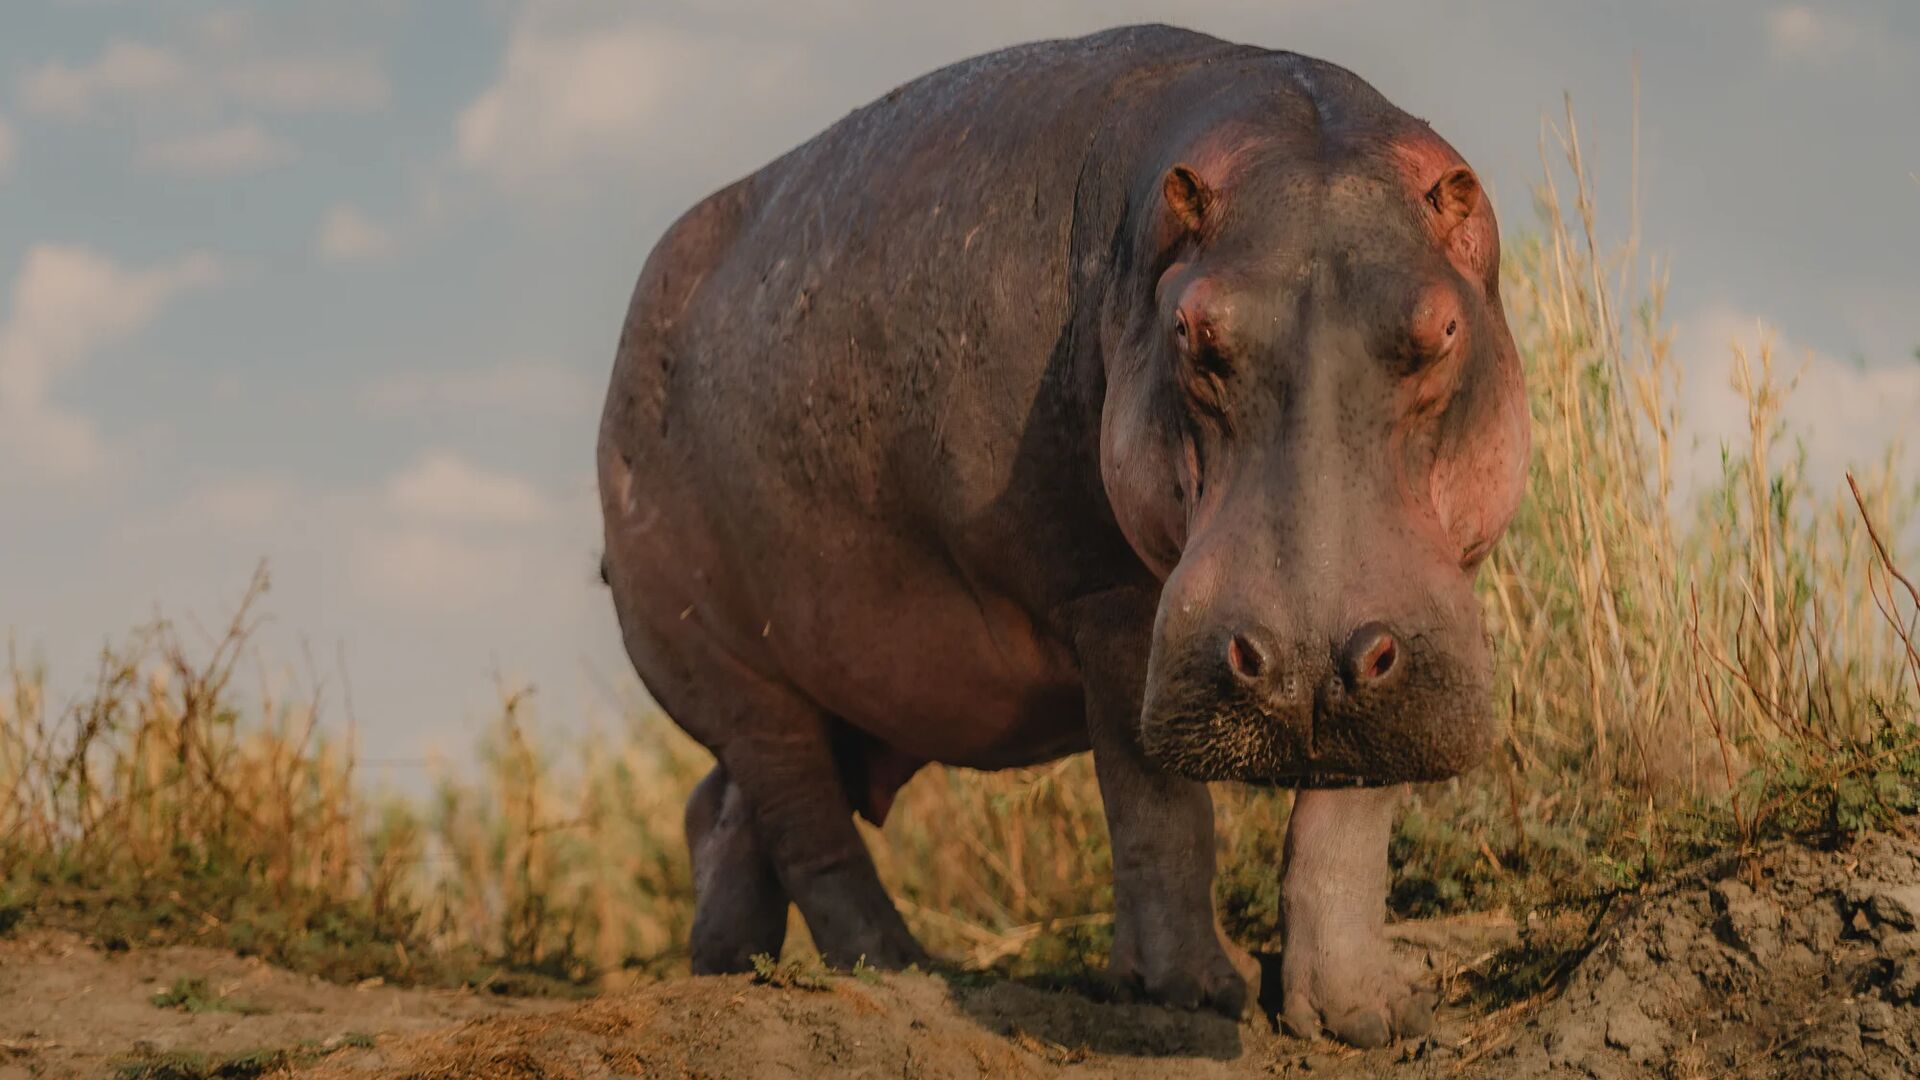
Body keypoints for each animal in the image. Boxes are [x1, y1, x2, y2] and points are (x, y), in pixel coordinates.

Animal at [597, 24, 1530, 1047]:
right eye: (1192, 332)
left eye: (1444, 327)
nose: (1299, 663)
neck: (1287, 140)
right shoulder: (1108, 592)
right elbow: (1158, 808)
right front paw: (1192, 994)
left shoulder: (1402, 639)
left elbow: (1347, 825)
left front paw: (1370, 1018)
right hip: (736, 672)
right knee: (806, 823)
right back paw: (903, 970)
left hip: (823, 691)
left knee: (721, 809)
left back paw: (730, 968)